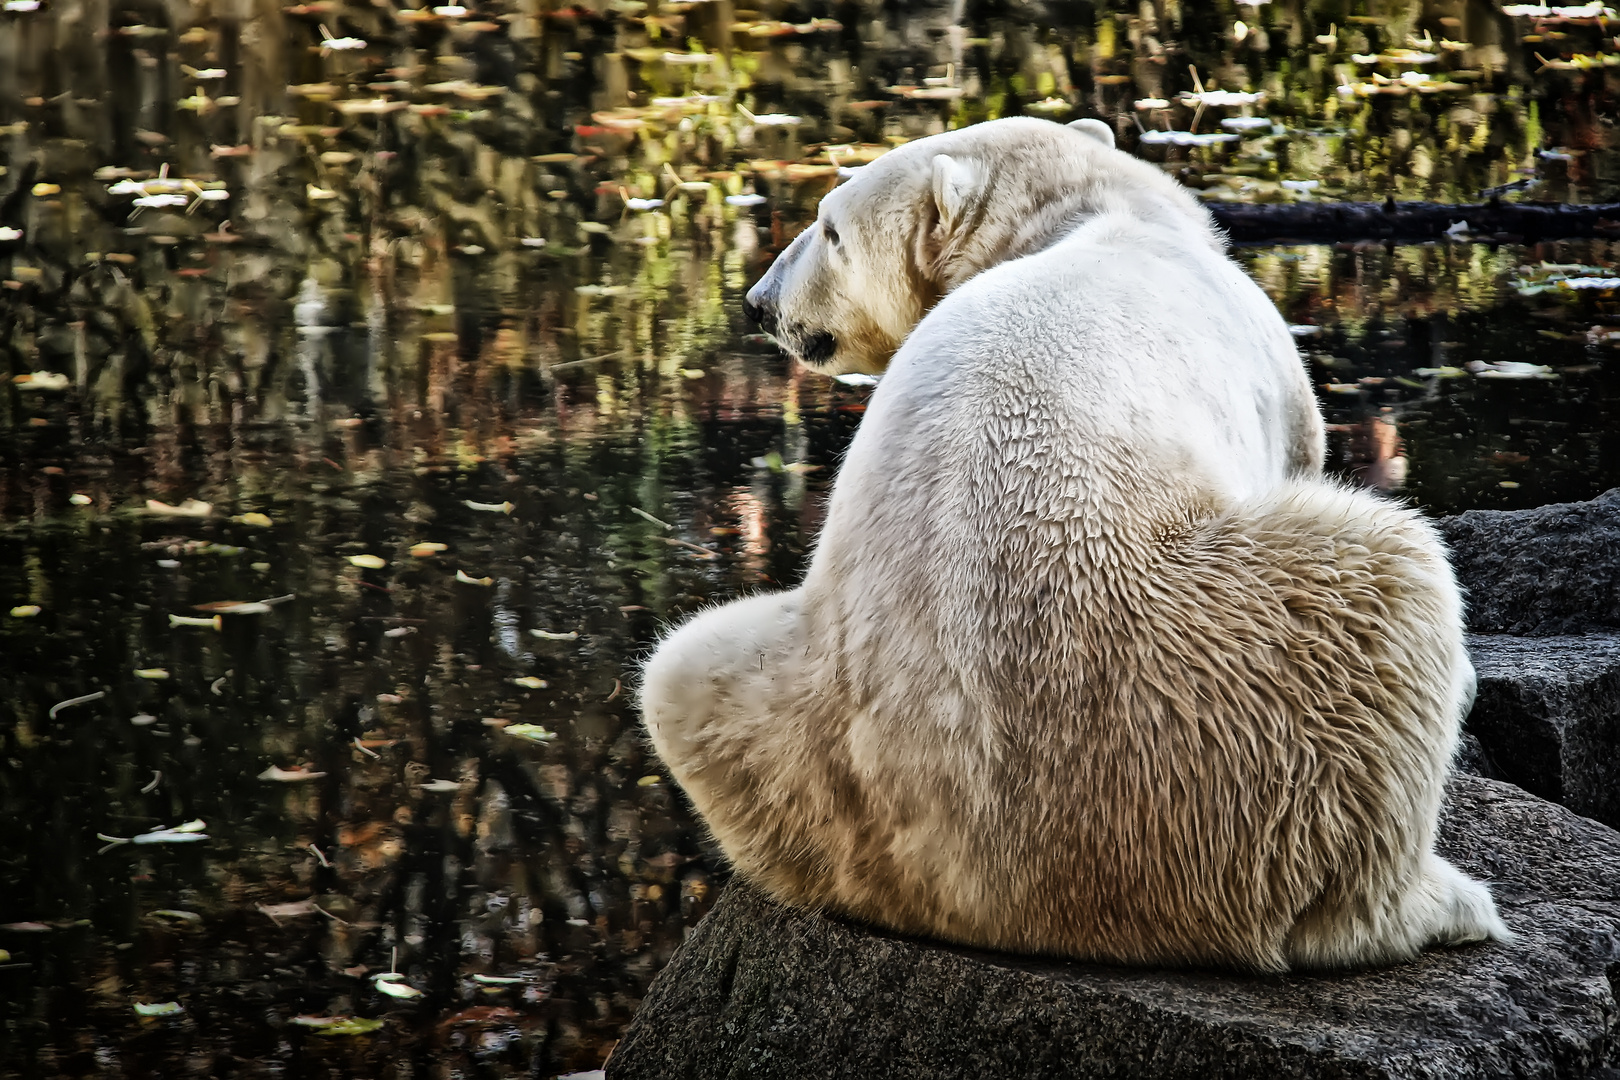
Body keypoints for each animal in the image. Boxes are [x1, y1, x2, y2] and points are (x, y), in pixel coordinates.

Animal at [638, 118, 1509, 971]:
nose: (757, 303)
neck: (1094, 209)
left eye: (829, 229)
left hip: (791, 722)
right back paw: (1446, 902)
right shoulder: (1275, 376)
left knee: (677, 665)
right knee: (1391, 579)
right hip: (1230, 715)